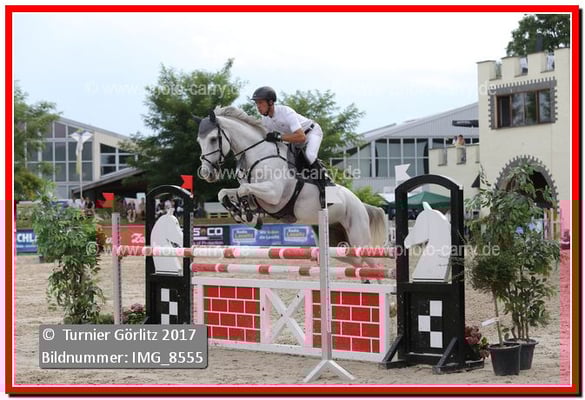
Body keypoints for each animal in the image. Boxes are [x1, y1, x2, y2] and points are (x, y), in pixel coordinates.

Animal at [195, 106, 388, 270]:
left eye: (213, 139)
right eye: (199, 141)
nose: (206, 173)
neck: (259, 155)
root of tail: (361, 204)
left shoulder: (273, 195)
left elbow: (244, 190)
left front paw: (248, 216)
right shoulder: (257, 195)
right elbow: (224, 193)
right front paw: (241, 214)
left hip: (359, 236)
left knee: (372, 263)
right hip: (335, 242)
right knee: (357, 261)